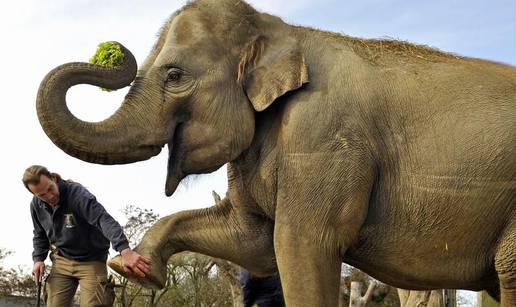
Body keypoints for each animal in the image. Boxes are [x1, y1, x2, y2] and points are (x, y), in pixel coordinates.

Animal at [34, 0, 512, 307]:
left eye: (174, 75)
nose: (113, 54)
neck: (284, 30)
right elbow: (254, 243)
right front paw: (137, 268)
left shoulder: (322, 138)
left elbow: (299, 243)